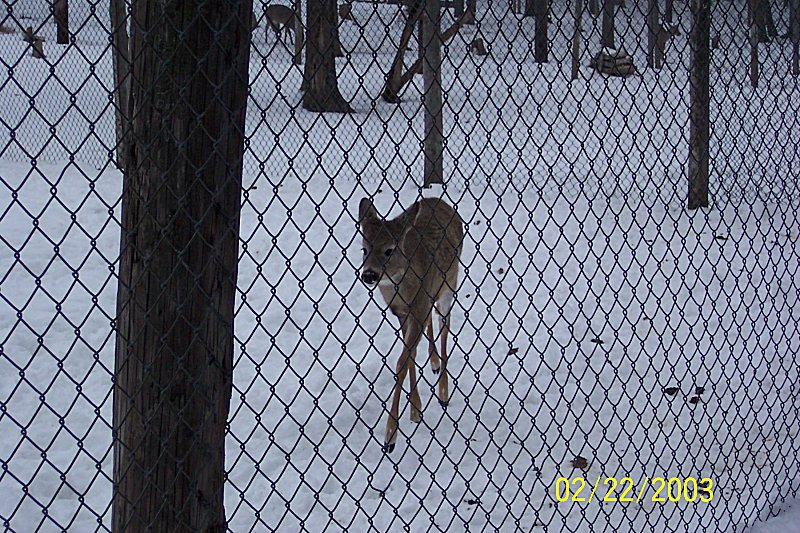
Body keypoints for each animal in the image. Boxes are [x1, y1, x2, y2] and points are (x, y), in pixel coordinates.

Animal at [358, 197, 465, 453]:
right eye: (364, 249)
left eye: (389, 250)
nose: (369, 275)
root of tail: (440, 201)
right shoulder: (402, 313)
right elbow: (409, 357)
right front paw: (416, 409)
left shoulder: (418, 307)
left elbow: (401, 362)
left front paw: (390, 436)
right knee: (431, 325)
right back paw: (434, 363)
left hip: (450, 282)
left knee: (444, 325)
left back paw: (443, 391)